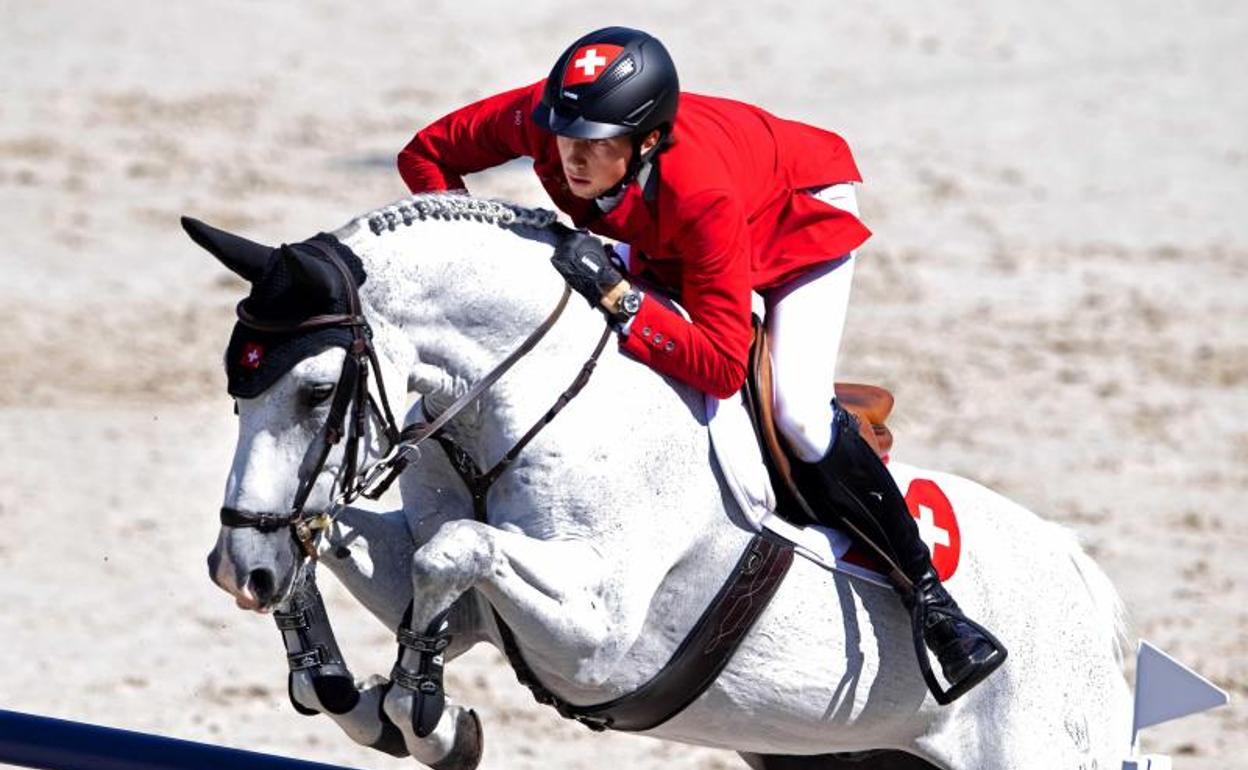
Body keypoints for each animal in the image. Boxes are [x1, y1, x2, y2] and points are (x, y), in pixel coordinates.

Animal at [192, 193, 1133, 768]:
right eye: (234, 391)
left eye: (318, 392)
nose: (240, 570)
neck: (526, 400)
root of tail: (1091, 588)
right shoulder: (479, 609)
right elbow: (381, 557)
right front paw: (347, 686)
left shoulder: (598, 638)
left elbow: (452, 551)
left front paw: (423, 712)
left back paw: (958, 637)